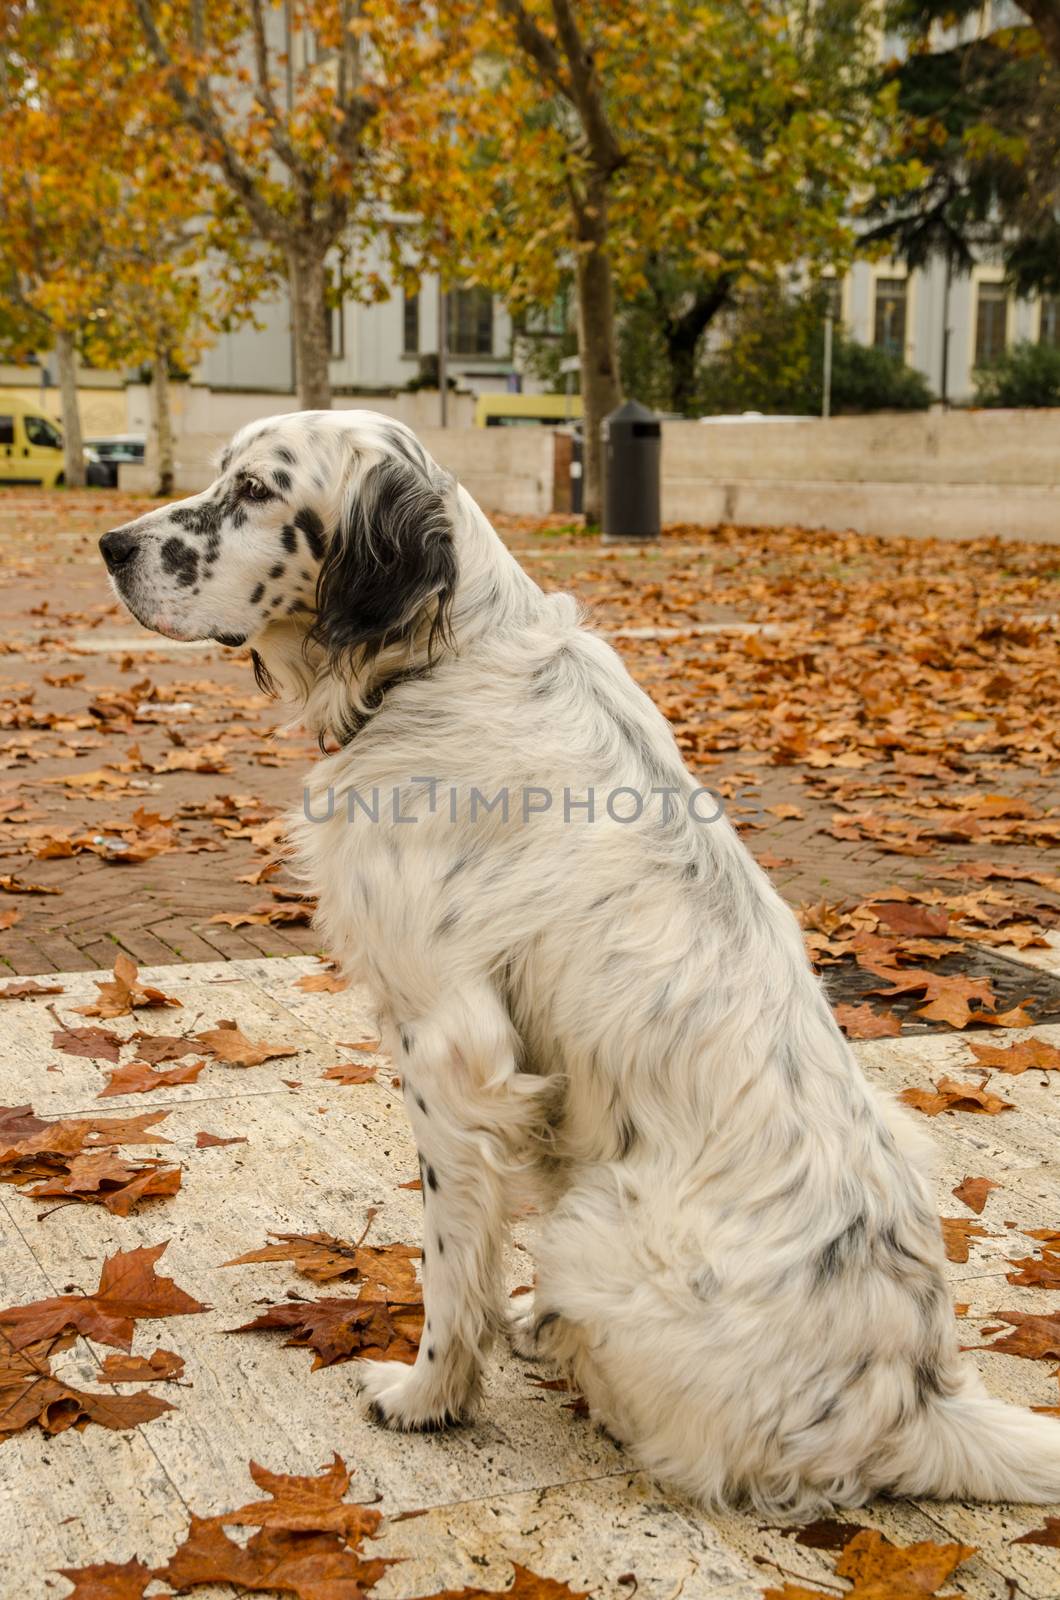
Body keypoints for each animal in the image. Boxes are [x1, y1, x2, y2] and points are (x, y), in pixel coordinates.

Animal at [104, 409, 1060, 1510]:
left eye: (256, 489)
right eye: (219, 471)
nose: (112, 545)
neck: (435, 661)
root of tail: (917, 1397)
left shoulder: (451, 1055)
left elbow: (447, 1262)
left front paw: (428, 1397)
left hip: (594, 1223)